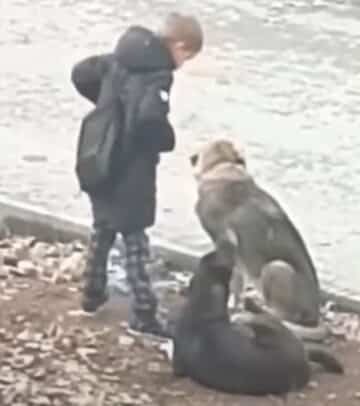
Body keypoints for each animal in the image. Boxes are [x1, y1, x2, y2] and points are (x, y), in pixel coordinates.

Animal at [173, 252, 344, 394]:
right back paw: (250, 307)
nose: (217, 251)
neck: (201, 309)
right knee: (265, 317)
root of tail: (303, 363)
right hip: (276, 329)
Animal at [191, 138, 330, 340]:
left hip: (275, 267)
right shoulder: (237, 257)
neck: (223, 165)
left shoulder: (224, 244)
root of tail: (316, 315)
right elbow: (236, 284)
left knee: (281, 316)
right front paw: (233, 304)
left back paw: (257, 309)